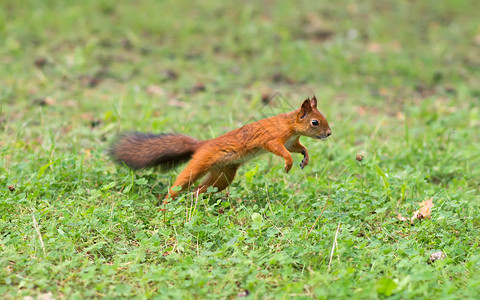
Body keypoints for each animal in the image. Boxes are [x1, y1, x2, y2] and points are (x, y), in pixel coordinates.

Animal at [110, 95, 332, 199]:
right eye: (315, 122)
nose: (329, 133)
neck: (289, 125)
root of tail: (202, 145)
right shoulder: (272, 139)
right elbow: (281, 151)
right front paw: (288, 163)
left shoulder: (292, 141)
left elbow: (299, 147)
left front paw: (305, 158)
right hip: (201, 163)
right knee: (181, 183)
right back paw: (166, 205)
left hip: (222, 176)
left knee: (201, 189)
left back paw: (195, 200)